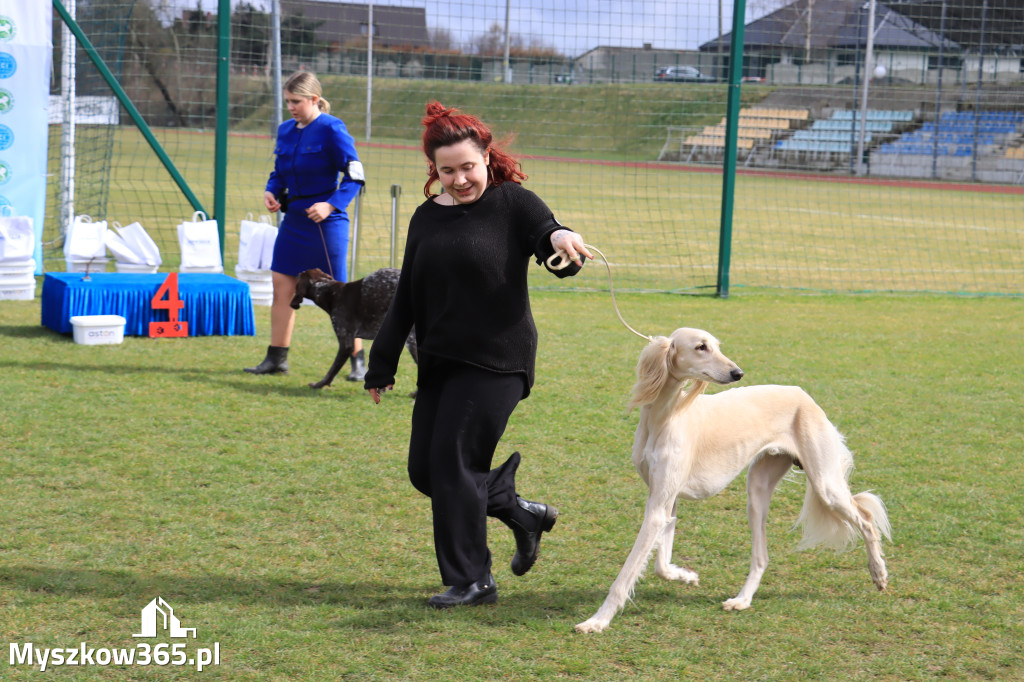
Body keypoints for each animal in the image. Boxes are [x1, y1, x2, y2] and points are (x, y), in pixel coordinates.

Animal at [577, 327, 888, 630]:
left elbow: (628, 573)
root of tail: (802, 394)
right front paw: (686, 576)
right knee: (761, 557)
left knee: (866, 520)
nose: (738, 373)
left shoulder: (658, 507)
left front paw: (597, 620)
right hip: (758, 488)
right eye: (701, 346)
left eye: (716, 345)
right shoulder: (666, 500)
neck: (666, 416)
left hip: (825, 485)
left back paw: (879, 573)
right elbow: (660, 565)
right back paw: (742, 600)